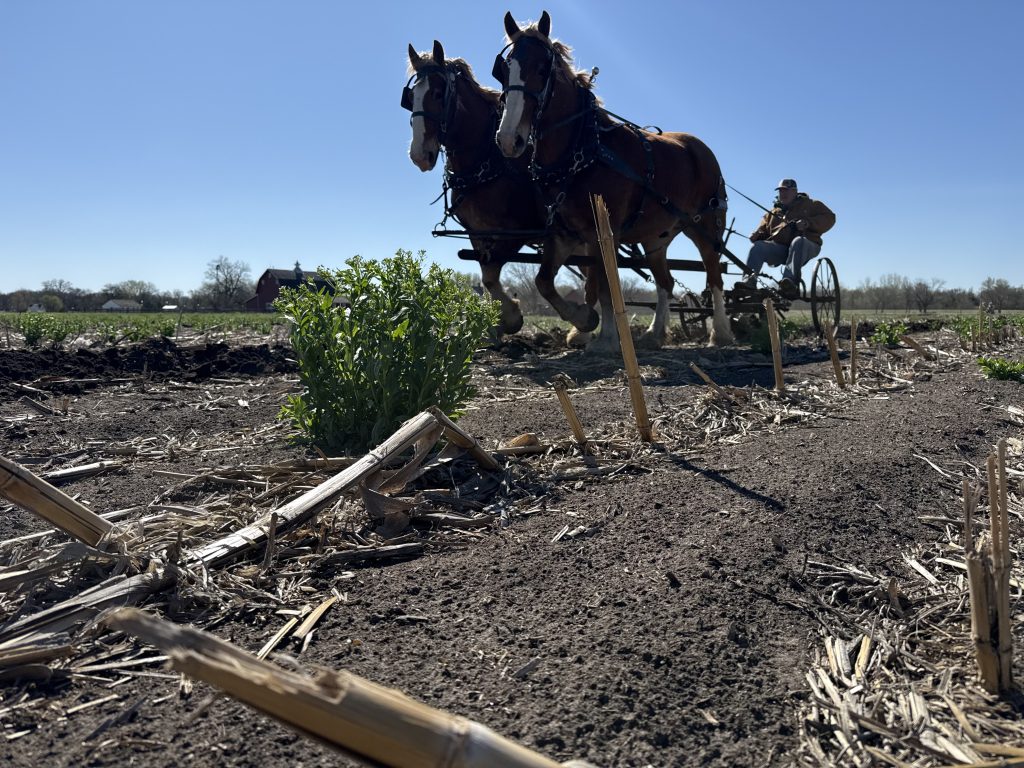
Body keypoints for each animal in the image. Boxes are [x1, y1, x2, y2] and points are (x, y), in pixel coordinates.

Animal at [403, 40, 544, 335]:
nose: (419, 154)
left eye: (438, 93)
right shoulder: (477, 231)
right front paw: (499, 320)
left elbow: (490, 276)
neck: (487, 158)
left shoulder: (519, 229)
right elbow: (486, 275)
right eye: (410, 98)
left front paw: (512, 315)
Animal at [493, 11, 734, 347]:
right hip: (656, 237)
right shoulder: (565, 233)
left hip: (706, 225)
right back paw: (654, 333)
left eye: (542, 69)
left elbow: (606, 285)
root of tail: (700, 148)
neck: (582, 151)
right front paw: (584, 320)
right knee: (665, 281)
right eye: (504, 71)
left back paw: (720, 333)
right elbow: (545, 282)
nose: (508, 139)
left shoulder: (604, 232)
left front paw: (606, 337)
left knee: (714, 275)